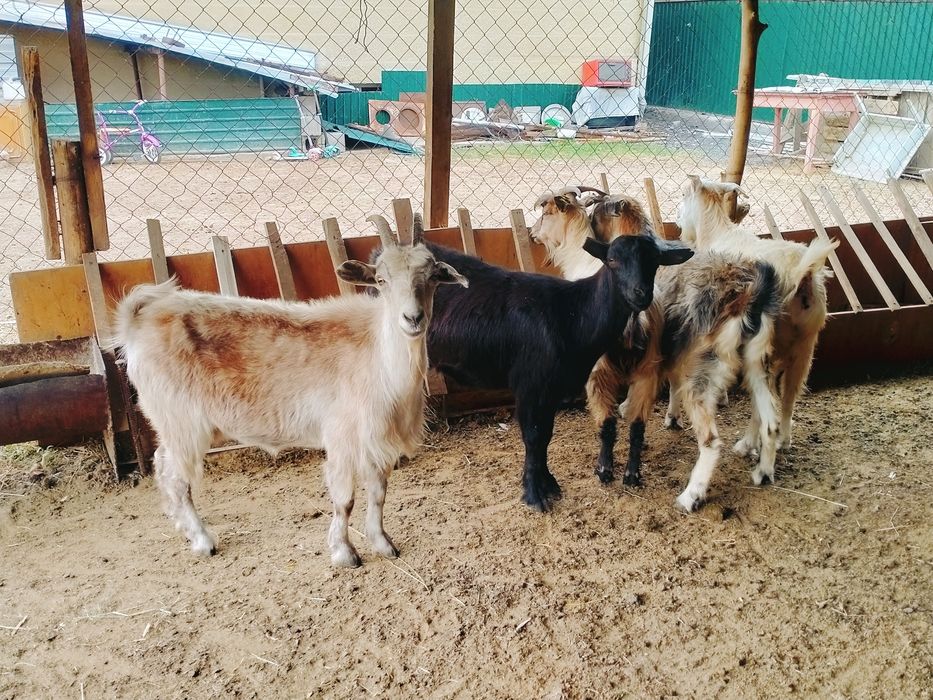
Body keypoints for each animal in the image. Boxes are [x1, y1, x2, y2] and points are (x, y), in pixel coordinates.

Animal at [115, 214, 467, 567]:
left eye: (433, 277)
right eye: (380, 280)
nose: (412, 318)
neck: (377, 355)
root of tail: (140, 320)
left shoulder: (374, 439)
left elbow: (379, 493)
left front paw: (383, 543)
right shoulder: (341, 435)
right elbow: (345, 499)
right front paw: (345, 552)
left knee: (163, 466)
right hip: (179, 420)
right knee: (175, 476)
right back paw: (202, 540)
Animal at [421, 222, 694, 511]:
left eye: (655, 262)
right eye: (612, 260)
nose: (640, 294)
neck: (573, 313)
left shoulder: (550, 388)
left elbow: (546, 436)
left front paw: (549, 484)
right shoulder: (529, 384)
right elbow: (533, 437)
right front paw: (534, 495)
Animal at [531, 189, 785, 511]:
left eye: (546, 213)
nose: (532, 234)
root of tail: (747, 294)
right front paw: (666, 418)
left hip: (701, 367)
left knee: (711, 440)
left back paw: (691, 496)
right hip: (757, 360)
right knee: (769, 419)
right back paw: (762, 470)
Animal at [676, 175, 838, 454]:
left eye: (685, 195)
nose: (677, 223)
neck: (715, 233)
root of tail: (802, 276)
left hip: (766, 343)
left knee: (764, 398)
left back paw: (747, 443)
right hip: (805, 344)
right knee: (789, 393)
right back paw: (784, 440)